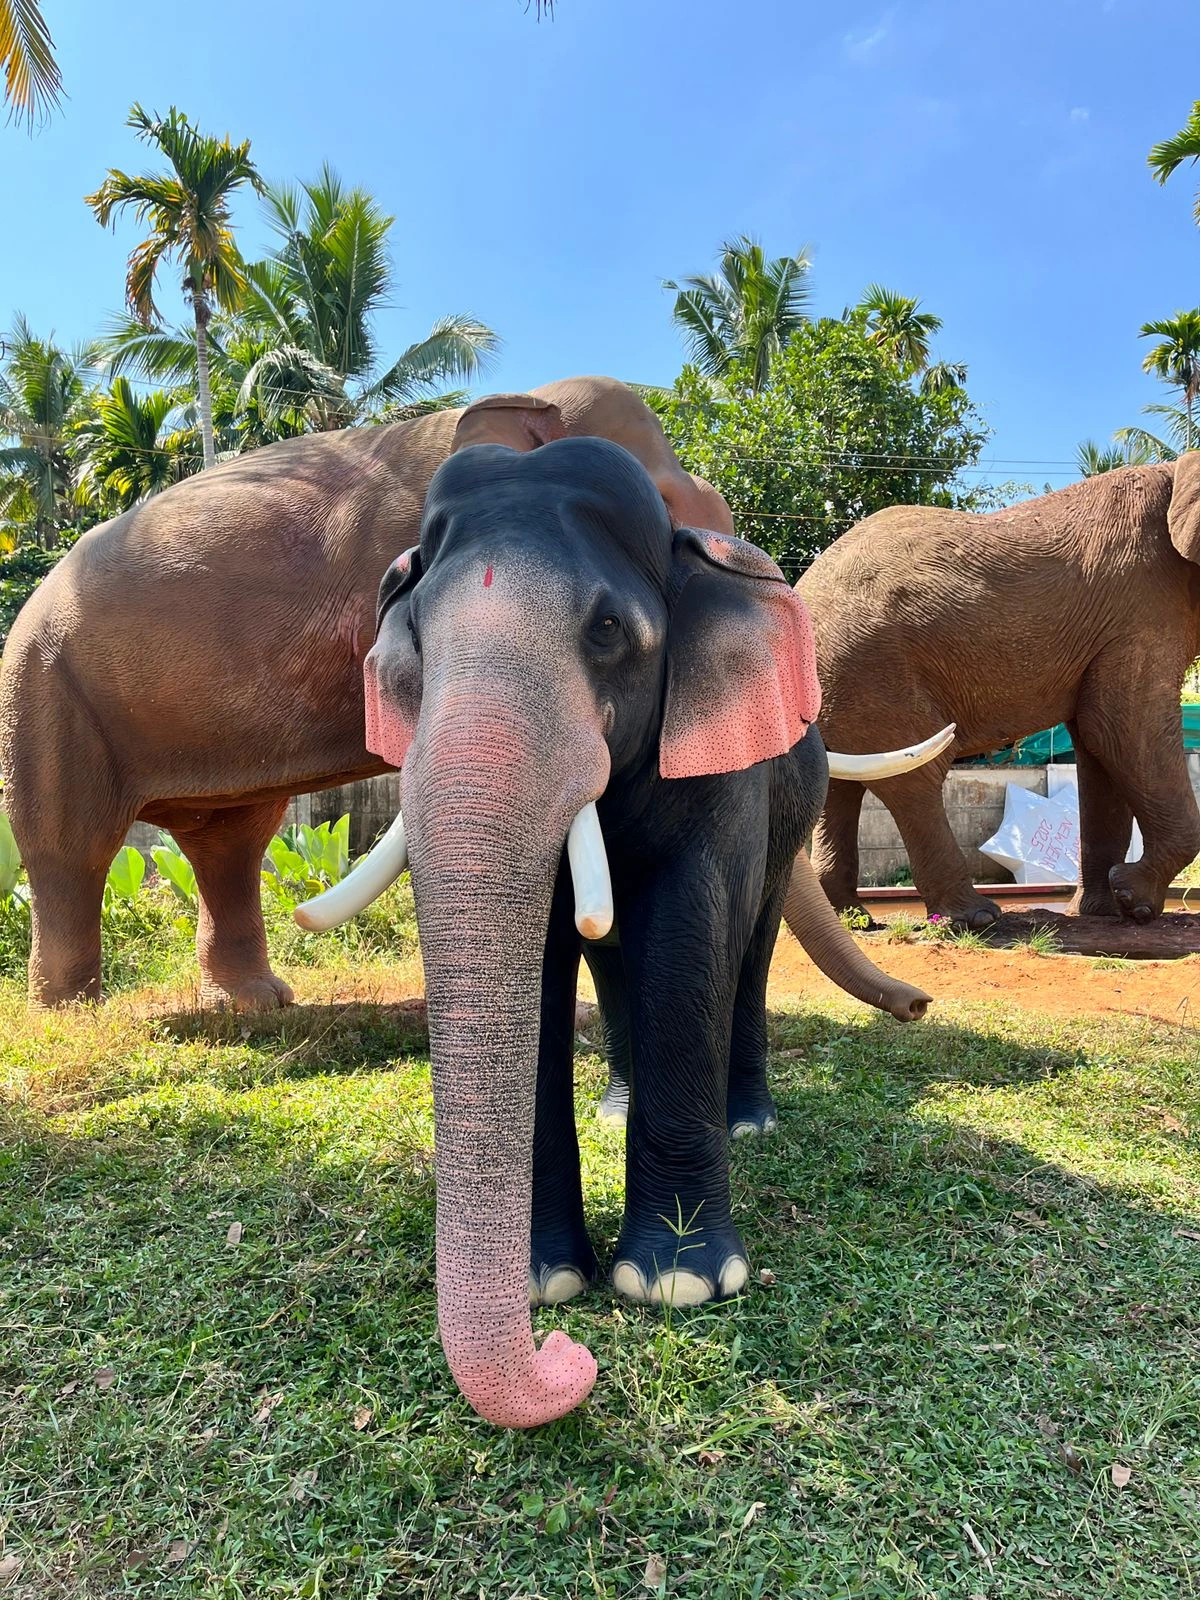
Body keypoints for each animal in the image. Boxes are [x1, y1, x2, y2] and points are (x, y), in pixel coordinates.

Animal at [0, 377, 739, 1010]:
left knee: (231, 845)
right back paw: (73, 1011)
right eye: (656, 513)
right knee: (72, 842)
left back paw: (254, 1006)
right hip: (43, 691)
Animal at [295, 432, 946, 1428]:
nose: (570, 1358)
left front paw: (679, 1285)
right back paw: (619, 1107)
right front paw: (550, 1283)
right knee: (613, 961)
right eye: (414, 652)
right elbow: (554, 954)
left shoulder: (719, 767)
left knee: (747, 946)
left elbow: (688, 930)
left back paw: (749, 1121)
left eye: (607, 631)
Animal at [799, 455, 1200, 929]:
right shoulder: (1141, 610)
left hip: (843, 678)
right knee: (913, 776)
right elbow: (1121, 726)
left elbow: (1097, 744)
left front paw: (1102, 912)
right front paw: (1134, 902)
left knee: (843, 781)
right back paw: (975, 919)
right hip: (870, 667)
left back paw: (852, 918)